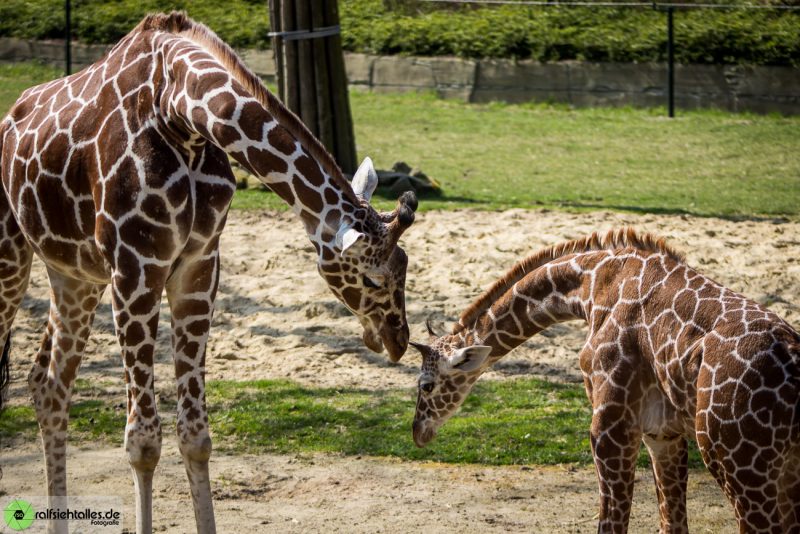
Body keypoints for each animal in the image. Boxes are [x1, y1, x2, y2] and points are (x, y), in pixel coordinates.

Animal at [1, 12, 418, 534]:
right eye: (373, 279)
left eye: (405, 266)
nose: (397, 340)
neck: (180, 112)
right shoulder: (135, 267)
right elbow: (142, 441)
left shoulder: (198, 267)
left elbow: (195, 435)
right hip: (13, 257)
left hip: (74, 275)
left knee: (48, 386)